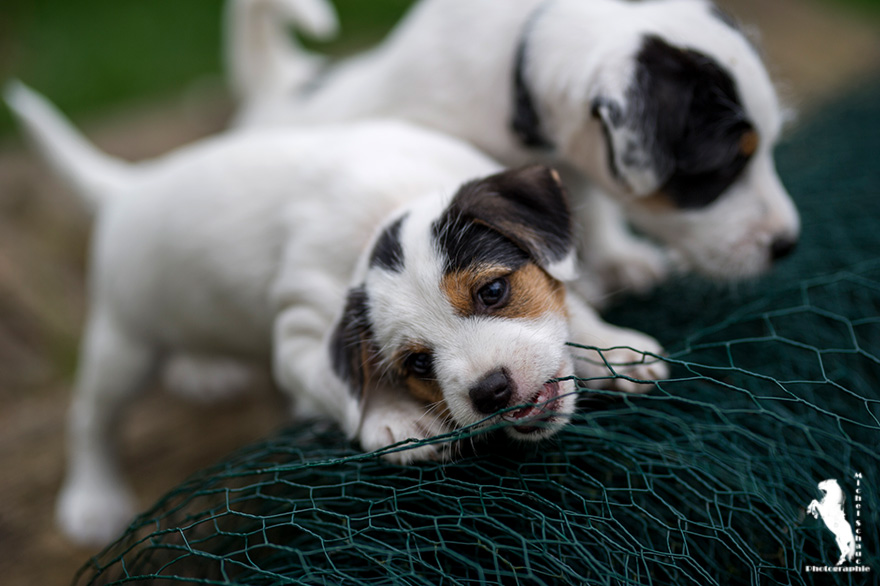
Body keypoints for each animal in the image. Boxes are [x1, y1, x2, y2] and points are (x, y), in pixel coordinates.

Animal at [5, 82, 668, 544]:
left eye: (493, 292)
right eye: (417, 364)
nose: (491, 392)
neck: (383, 205)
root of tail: (129, 188)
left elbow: (570, 300)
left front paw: (614, 349)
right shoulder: (298, 334)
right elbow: (340, 386)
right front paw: (394, 422)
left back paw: (204, 370)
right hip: (125, 342)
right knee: (90, 419)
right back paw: (92, 498)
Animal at [229, 0, 804, 304]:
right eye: (724, 166)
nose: (788, 245)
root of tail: (278, 87)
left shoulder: (572, 166)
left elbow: (589, 209)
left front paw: (618, 259)